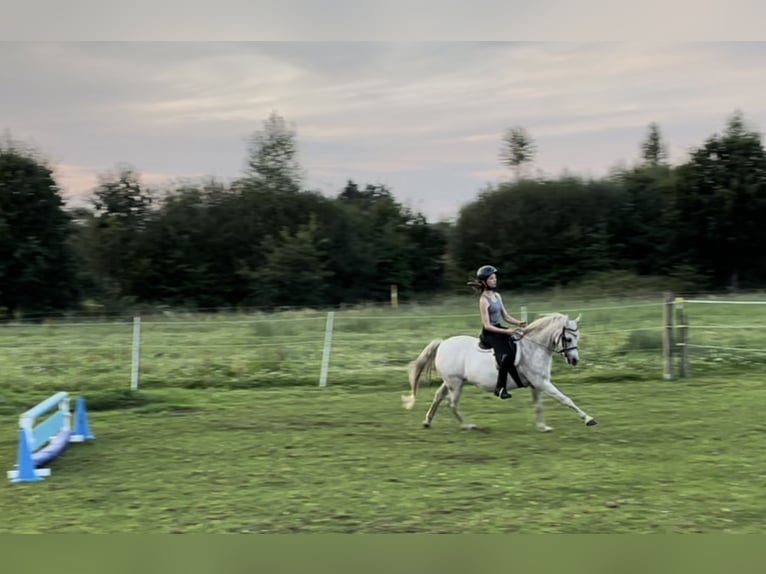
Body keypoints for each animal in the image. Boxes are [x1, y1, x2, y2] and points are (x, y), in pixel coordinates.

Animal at [402, 316, 600, 432]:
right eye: (568, 338)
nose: (574, 360)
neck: (534, 348)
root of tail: (442, 343)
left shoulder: (537, 385)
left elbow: (538, 405)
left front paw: (542, 426)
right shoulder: (542, 382)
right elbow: (566, 399)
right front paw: (589, 419)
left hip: (452, 382)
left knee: (438, 396)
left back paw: (427, 421)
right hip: (456, 384)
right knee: (451, 404)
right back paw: (468, 425)